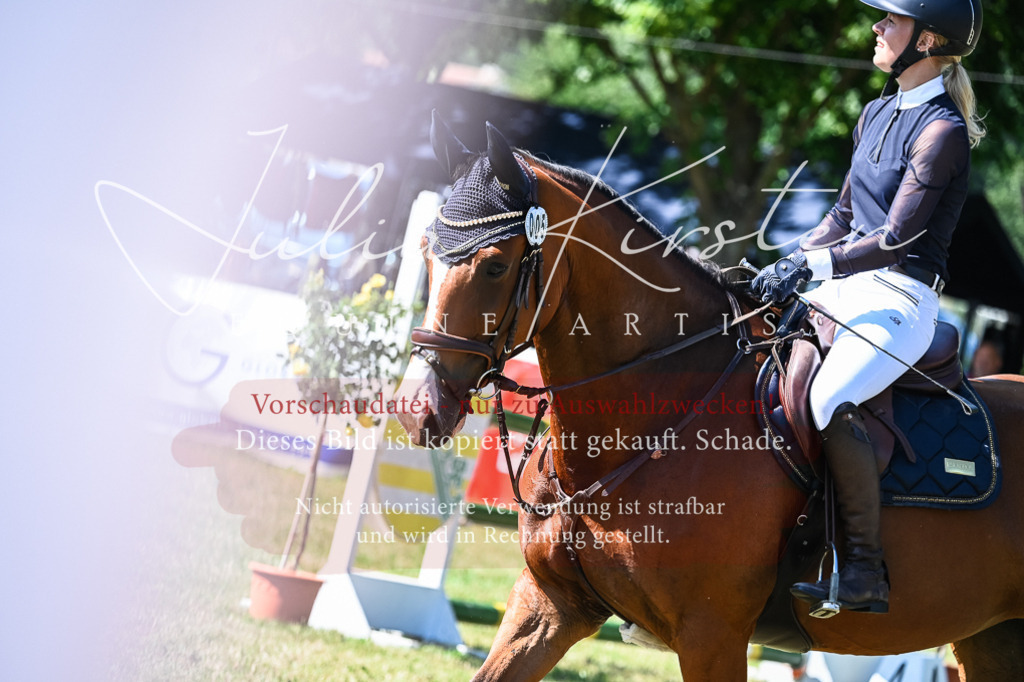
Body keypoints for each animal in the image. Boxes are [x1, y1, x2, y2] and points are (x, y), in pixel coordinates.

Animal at [394, 112, 1024, 681]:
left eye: (495, 266)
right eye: (425, 252)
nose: (418, 408)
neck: (656, 412)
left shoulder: (711, 634)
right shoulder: (551, 605)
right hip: (992, 640)